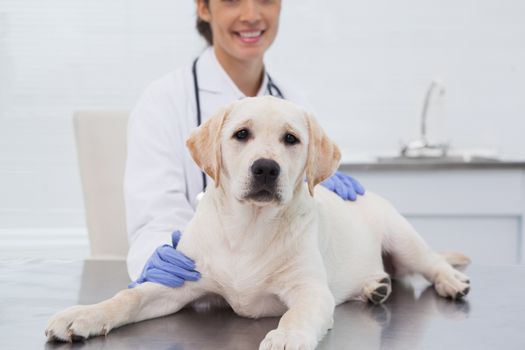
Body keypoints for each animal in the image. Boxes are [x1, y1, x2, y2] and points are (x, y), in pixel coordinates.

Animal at [46, 95, 470, 350]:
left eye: (291, 139)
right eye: (241, 134)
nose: (265, 167)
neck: (248, 228)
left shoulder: (310, 291)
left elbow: (298, 312)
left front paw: (286, 337)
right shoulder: (177, 283)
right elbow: (127, 297)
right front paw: (81, 315)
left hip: (403, 238)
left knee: (432, 262)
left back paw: (451, 281)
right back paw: (375, 287)